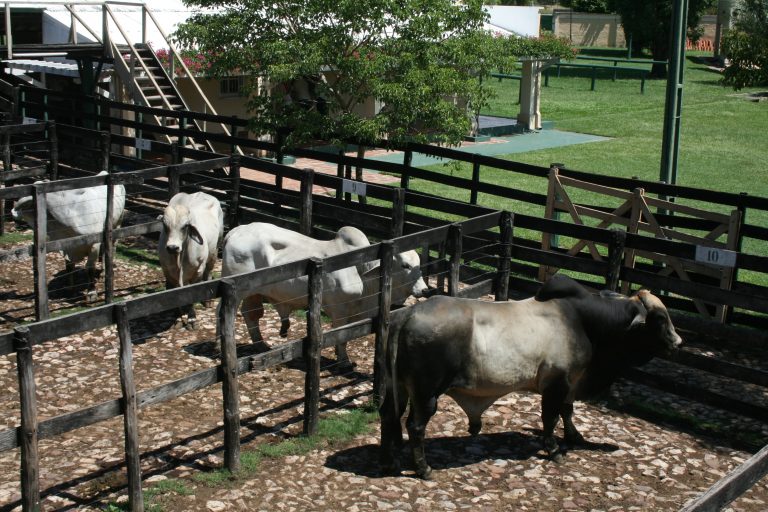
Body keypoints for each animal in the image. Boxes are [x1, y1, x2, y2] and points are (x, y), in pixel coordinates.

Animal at [158, 192, 224, 328]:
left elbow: (191, 295)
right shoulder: (168, 273)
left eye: (185, 226)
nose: (172, 247)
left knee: (208, 274)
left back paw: (208, 301)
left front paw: (192, 319)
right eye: (165, 225)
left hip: (214, 252)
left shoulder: (197, 271)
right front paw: (179, 318)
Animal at [219, 223, 428, 364]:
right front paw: (343, 360)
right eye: (405, 265)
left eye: (418, 263)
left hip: (253, 293)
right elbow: (341, 337)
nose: (425, 289)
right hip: (236, 291)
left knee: (251, 315)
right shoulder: (339, 311)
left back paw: (260, 344)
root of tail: (237, 231)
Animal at [380, 276, 680, 480]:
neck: (584, 321)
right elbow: (551, 417)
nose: (678, 342)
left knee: (389, 416)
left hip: (398, 386)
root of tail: (407, 315)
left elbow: (567, 411)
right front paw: (554, 450)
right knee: (415, 426)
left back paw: (390, 462)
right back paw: (423, 469)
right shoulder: (557, 383)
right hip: (426, 393)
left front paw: (574, 436)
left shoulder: (570, 382)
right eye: (659, 318)